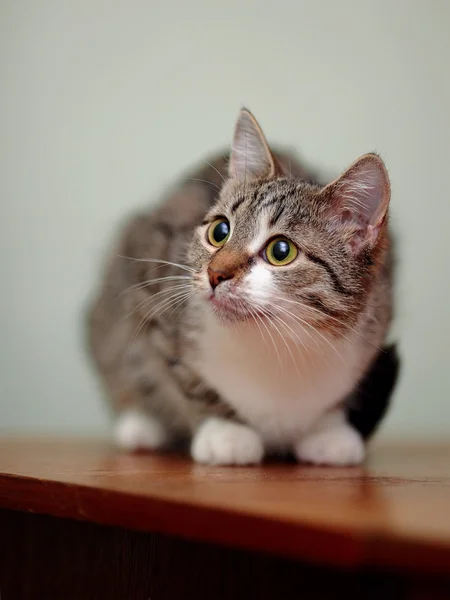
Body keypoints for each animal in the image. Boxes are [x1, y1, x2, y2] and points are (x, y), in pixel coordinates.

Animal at [86, 111, 400, 468]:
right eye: (220, 231)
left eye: (281, 251)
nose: (215, 273)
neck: (278, 346)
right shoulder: (152, 286)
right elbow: (182, 375)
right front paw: (226, 431)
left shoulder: (376, 314)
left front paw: (329, 430)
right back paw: (140, 424)